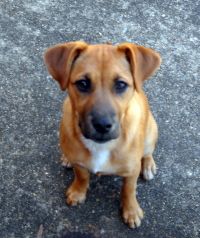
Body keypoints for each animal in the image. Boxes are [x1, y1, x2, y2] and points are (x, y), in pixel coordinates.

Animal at [43, 42, 161, 229]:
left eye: (121, 84)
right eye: (83, 83)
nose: (102, 125)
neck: (101, 146)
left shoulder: (132, 170)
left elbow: (129, 189)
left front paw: (131, 210)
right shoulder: (80, 163)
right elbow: (82, 176)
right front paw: (78, 192)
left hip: (151, 133)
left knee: (148, 152)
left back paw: (148, 165)